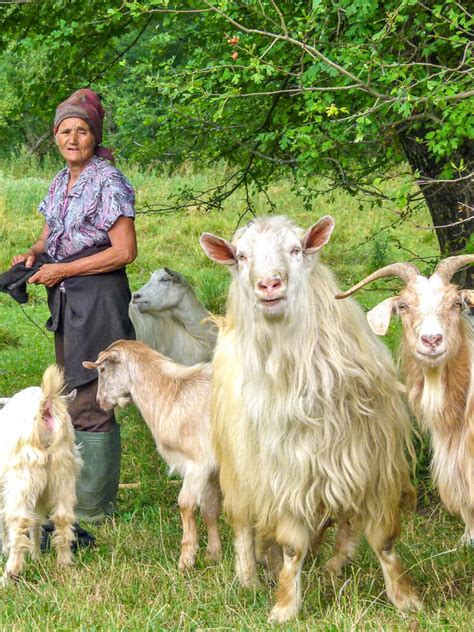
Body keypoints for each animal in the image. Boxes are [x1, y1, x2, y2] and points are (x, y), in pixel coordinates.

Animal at [0, 366, 82, 588]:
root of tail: (45, 407)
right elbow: (36, 521)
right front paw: (36, 555)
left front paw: (5, 550)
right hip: (63, 474)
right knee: (62, 517)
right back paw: (64, 562)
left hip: (22, 477)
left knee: (19, 520)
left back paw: (10, 575)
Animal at [82, 344, 221, 572]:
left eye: (102, 370)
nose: (99, 401)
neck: (171, 393)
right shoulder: (211, 470)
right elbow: (210, 508)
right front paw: (213, 555)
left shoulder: (197, 463)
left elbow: (185, 504)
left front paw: (186, 559)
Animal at [198, 215, 420, 620]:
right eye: (241, 257)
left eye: (296, 249)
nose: (269, 284)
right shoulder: (285, 475)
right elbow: (291, 545)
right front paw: (285, 606)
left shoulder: (374, 465)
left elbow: (383, 539)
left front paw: (405, 599)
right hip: (238, 465)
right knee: (242, 522)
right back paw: (249, 578)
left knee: (341, 520)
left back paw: (331, 564)